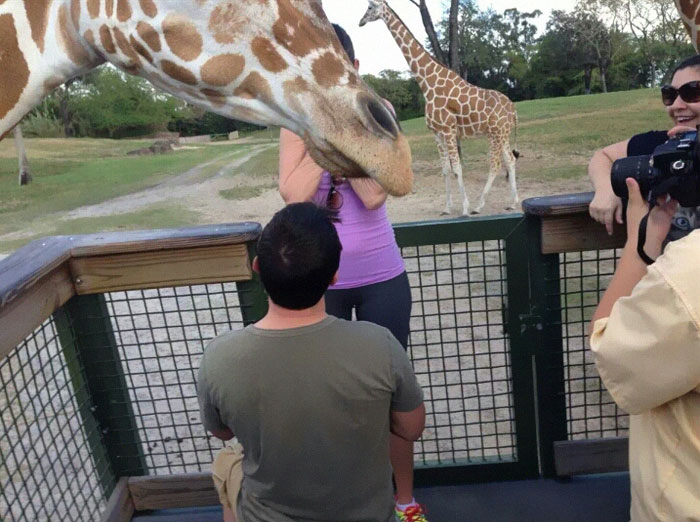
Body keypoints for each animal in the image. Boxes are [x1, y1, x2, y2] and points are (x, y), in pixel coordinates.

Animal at [360, 0, 518, 215]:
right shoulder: (437, 133)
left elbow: (457, 167)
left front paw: (465, 208)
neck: (428, 83)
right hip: (501, 134)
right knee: (510, 160)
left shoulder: (449, 130)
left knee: (495, 164)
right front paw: (446, 208)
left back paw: (478, 206)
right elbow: (445, 169)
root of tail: (513, 109)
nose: (360, 22)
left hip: (496, 132)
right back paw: (513, 202)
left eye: (369, 7)